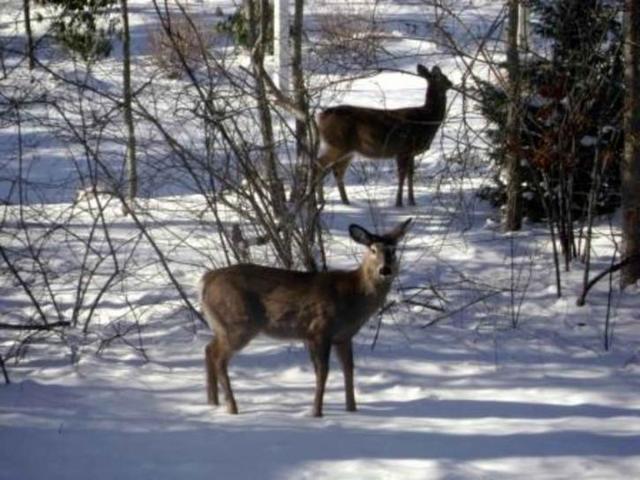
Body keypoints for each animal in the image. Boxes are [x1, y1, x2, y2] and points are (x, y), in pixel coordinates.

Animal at [199, 218, 412, 417]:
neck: (353, 297)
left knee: (209, 349)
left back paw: (212, 403)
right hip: (237, 322)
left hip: (223, 325)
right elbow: (323, 372)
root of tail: (205, 281)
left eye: (393, 250)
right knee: (218, 357)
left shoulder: (343, 336)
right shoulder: (319, 329)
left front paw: (352, 409)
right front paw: (316, 412)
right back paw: (232, 407)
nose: (385, 270)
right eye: (373, 249)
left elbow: (349, 368)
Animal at [316, 64, 452, 207]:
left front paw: (412, 201)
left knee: (337, 171)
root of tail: (320, 117)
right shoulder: (403, 149)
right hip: (336, 144)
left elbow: (410, 175)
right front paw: (399, 203)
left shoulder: (411, 152)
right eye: (438, 77)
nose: (451, 83)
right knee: (320, 165)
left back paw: (345, 201)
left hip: (347, 150)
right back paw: (321, 200)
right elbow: (402, 176)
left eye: (444, 75)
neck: (425, 120)